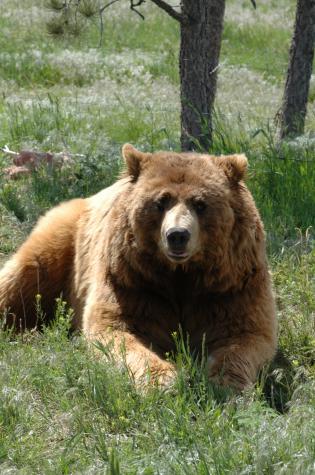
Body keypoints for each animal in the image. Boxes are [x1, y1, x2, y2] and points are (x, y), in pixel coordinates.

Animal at [0, 145, 276, 390]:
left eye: (200, 203)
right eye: (161, 202)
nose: (177, 235)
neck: (181, 275)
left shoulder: (231, 285)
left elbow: (246, 334)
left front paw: (224, 383)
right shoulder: (132, 280)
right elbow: (118, 329)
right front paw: (163, 381)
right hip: (64, 239)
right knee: (20, 278)